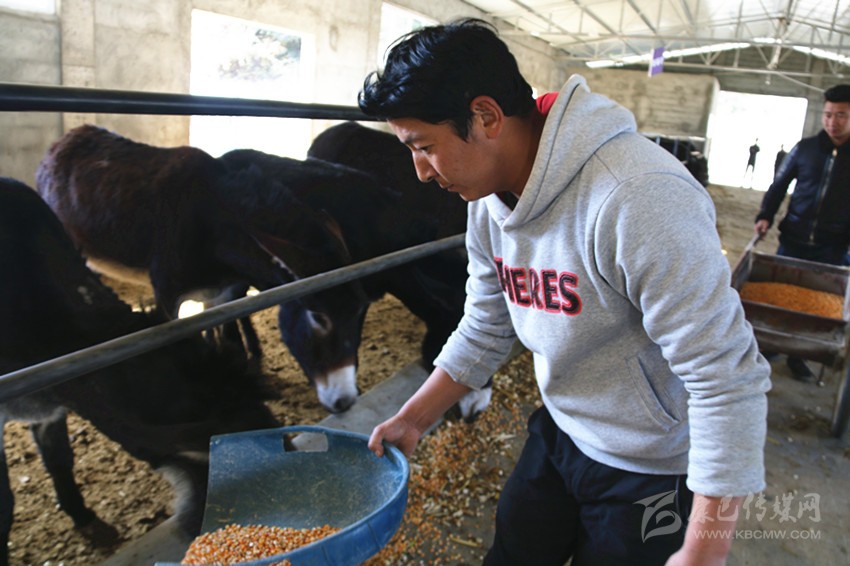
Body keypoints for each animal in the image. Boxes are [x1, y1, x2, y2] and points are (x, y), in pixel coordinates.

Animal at [35, 124, 366, 413]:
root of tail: (65, 140)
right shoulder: (167, 295)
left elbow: (228, 339)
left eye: (359, 312)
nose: (346, 401)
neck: (212, 218)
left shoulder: (225, 295)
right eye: (318, 316)